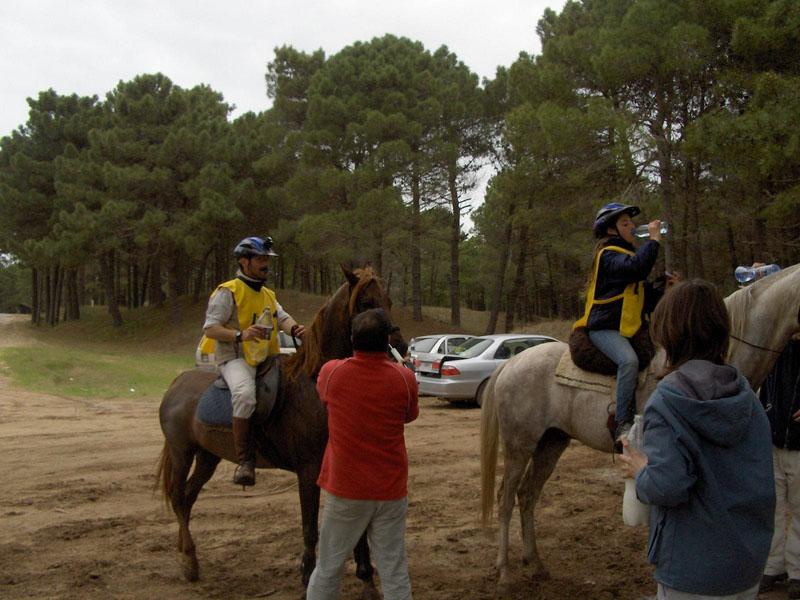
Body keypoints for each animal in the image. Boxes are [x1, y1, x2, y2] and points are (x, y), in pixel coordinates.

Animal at [155, 268, 406, 596]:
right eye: (365, 302)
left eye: (388, 301)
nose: (400, 346)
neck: (318, 382)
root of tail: (177, 384)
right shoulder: (309, 468)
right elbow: (310, 528)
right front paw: (308, 576)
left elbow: (357, 527)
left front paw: (367, 580)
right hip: (182, 453)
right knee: (177, 497)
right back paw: (187, 559)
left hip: (208, 457)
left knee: (186, 499)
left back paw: (191, 560)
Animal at [482, 264, 800, 592]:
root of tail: (510, 363)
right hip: (520, 445)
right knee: (505, 499)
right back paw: (505, 573)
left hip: (551, 443)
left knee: (528, 495)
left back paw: (535, 564)